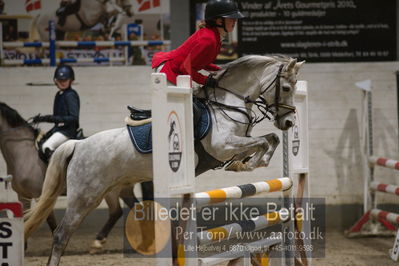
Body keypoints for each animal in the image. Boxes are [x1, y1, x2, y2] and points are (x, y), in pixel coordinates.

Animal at [0, 102, 137, 254]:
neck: (23, 153)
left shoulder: (41, 196)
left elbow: (49, 220)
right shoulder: (23, 196)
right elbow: (25, 218)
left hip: (111, 190)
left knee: (116, 212)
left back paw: (97, 242)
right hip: (122, 189)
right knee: (133, 208)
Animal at [25, 55, 304, 264]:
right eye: (286, 88)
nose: (289, 123)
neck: (228, 104)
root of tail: (79, 145)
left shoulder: (236, 144)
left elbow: (270, 139)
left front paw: (246, 163)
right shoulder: (222, 146)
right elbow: (263, 142)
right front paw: (250, 164)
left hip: (112, 188)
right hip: (84, 196)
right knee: (61, 234)